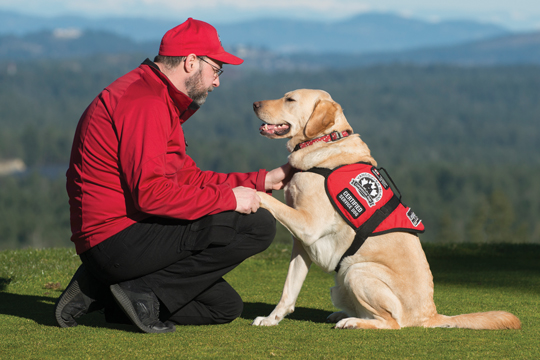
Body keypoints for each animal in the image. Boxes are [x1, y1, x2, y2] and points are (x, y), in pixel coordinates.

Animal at [251, 89, 520, 330]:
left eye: (290, 99)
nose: (254, 103)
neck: (327, 139)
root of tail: (429, 315)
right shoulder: (301, 242)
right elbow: (289, 289)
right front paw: (272, 319)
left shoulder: (308, 226)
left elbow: (266, 199)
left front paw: (246, 193)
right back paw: (344, 315)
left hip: (356, 271)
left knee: (392, 323)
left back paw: (353, 322)